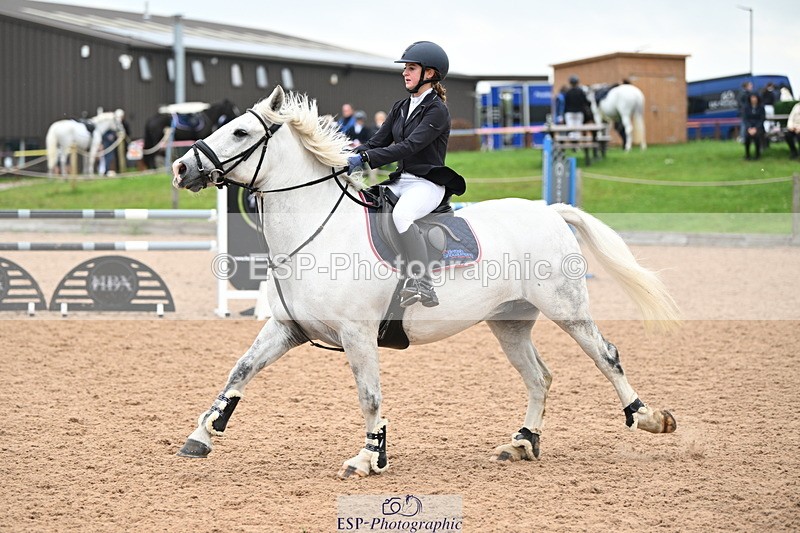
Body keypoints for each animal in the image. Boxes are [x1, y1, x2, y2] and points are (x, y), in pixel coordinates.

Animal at [171, 86, 680, 479]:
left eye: (240, 132)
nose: (181, 168)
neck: (318, 230)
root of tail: (549, 210)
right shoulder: (287, 329)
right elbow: (239, 371)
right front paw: (201, 435)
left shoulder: (357, 334)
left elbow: (369, 395)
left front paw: (368, 458)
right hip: (509, 322)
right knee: (540, 376)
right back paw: (522, 442)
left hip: (567, 309)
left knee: (606, 356)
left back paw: (649, 418)